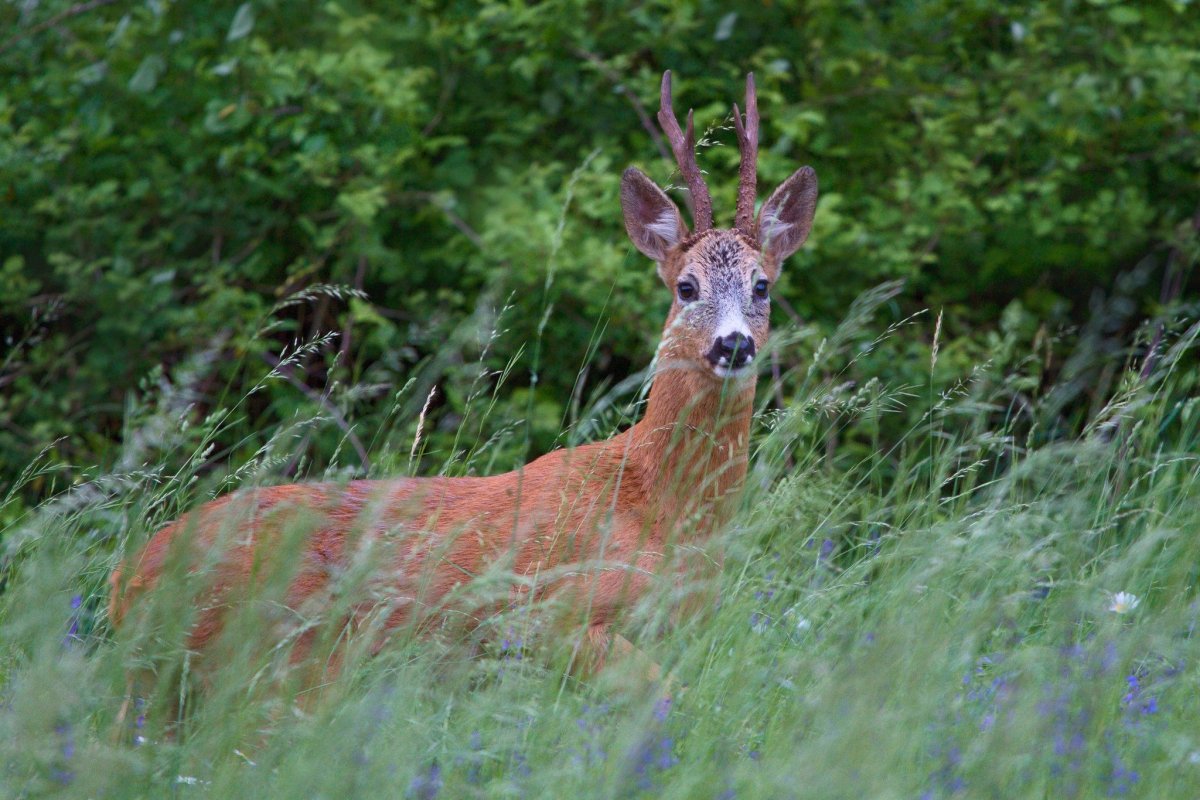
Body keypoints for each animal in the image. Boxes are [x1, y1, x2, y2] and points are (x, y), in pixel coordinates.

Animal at [110, 71, 816, 690]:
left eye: (762, 286)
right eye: (686, 286)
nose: (733, 344)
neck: (663, 511)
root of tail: (123, 582)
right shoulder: (546, 614)